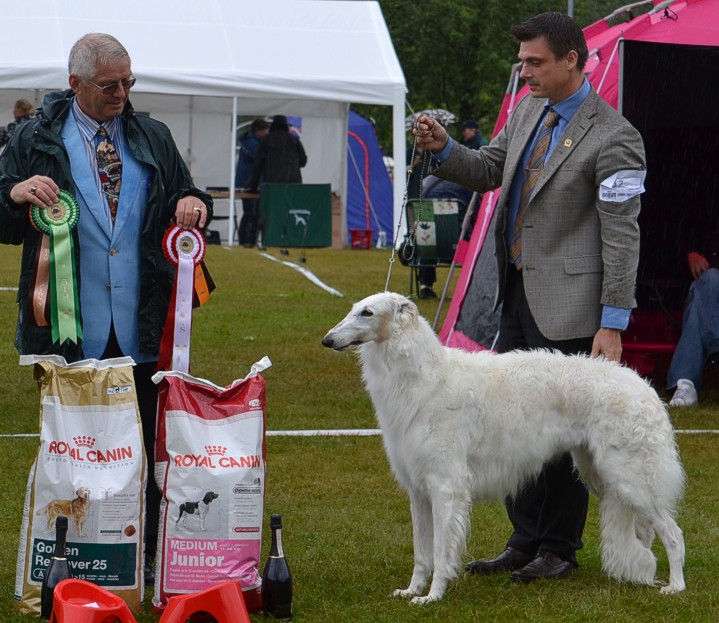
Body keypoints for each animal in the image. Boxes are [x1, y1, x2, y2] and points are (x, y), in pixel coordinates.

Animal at [322, 292, 688, 604]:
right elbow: (421, 552)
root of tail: (647, 388)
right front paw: (411, 590)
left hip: (629, 476)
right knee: (646, 532)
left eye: (367, 313)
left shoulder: (446, 488)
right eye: (353, 308)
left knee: (673, 533)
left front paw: (432, 596)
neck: (427, 379)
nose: (327, 340)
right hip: (604, 473)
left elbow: (440, 551)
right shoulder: (419, 489)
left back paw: (675, 586)